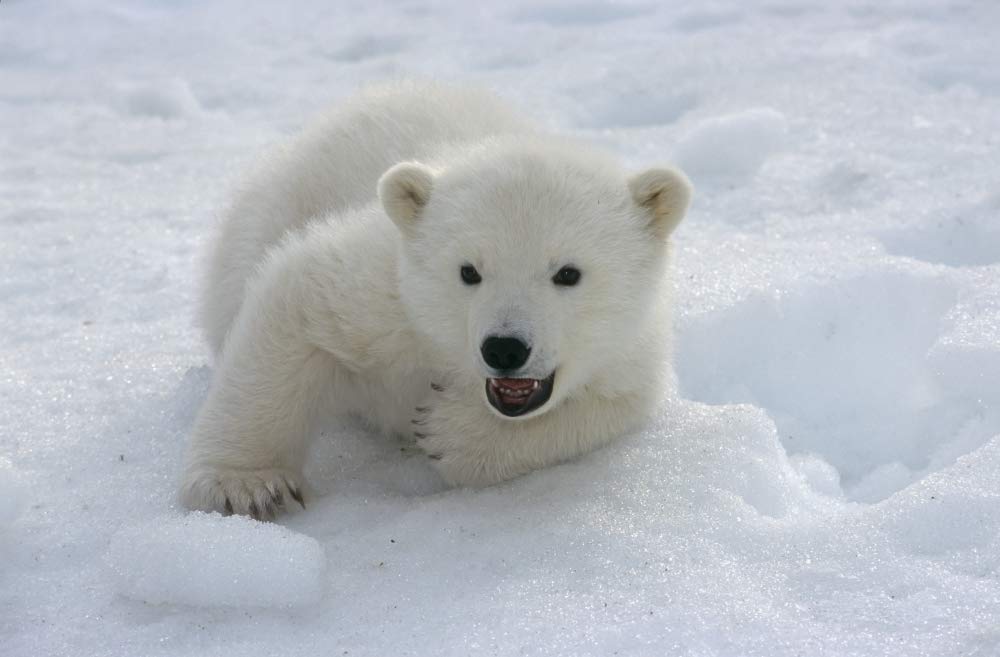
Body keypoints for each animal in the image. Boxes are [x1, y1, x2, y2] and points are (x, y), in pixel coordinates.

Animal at [180, 81, 692, 519]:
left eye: (568, 272)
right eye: (469, 271)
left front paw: (452, 433)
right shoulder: (389, 294)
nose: (505, 348)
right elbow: (296, 299)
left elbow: (612, 406)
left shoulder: (630, 351)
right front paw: (245, 485)